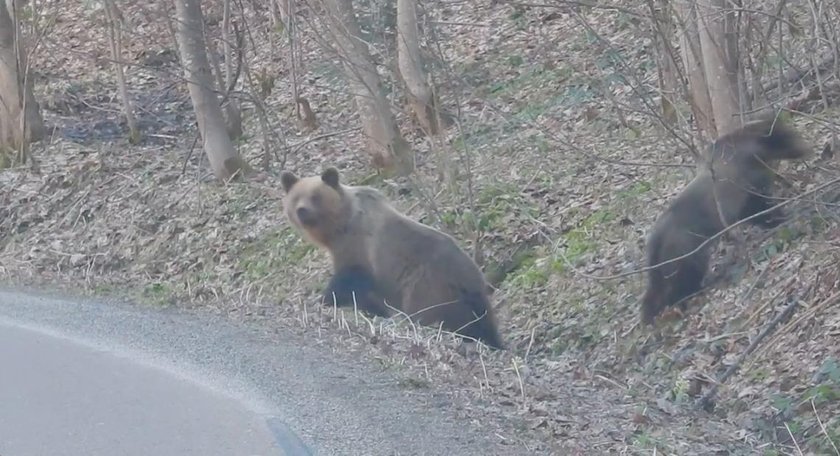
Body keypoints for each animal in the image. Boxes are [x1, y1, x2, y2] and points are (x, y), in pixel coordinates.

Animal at [278, 167, 502, 350]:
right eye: (296, 196)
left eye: (315, 196)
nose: (302, 210)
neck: (339, 227)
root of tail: (473, 281)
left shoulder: (358, 248)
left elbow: (348, 279)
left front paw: (325, 300)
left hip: (428, 285)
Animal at [640, 117, 812, 324]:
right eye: (791, 136)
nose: (807, 148)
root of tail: (655, 242)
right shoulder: (746, 183)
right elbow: (759, 208)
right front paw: (779, 217)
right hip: (685, 249)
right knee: (684, 277)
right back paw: (689, 293)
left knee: (659, 288)